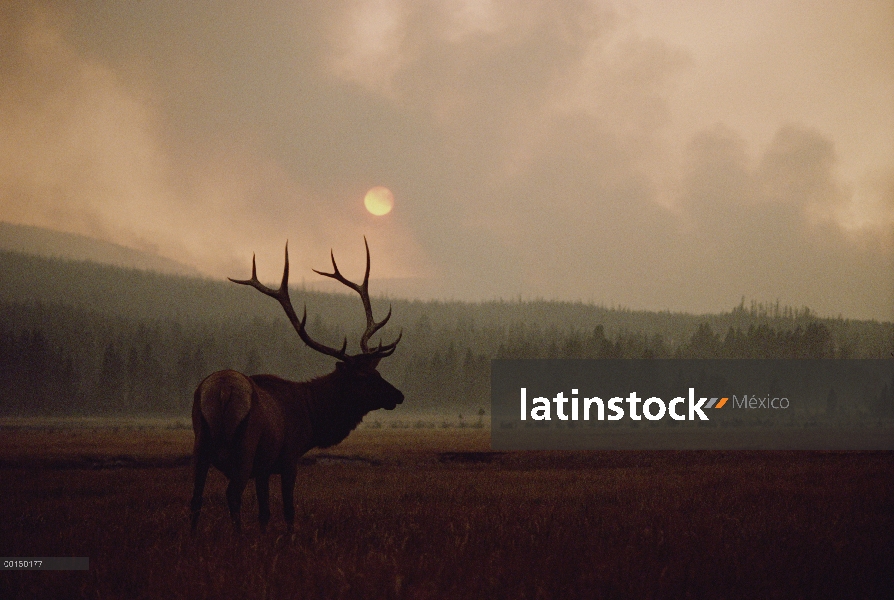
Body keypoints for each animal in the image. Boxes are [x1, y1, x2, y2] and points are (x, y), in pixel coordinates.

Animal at [194, 237, 408, 532]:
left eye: (376, 372)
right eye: (363, 377)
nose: (398, 395)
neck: (312, 414)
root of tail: (222, 389)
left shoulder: (264, 467)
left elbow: (264, 512)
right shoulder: (288, 456)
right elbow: (288, 509)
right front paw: (289, 536)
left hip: (200, 441)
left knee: (195, 498)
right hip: (245, 444)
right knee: (232, 494)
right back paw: (237, 536)